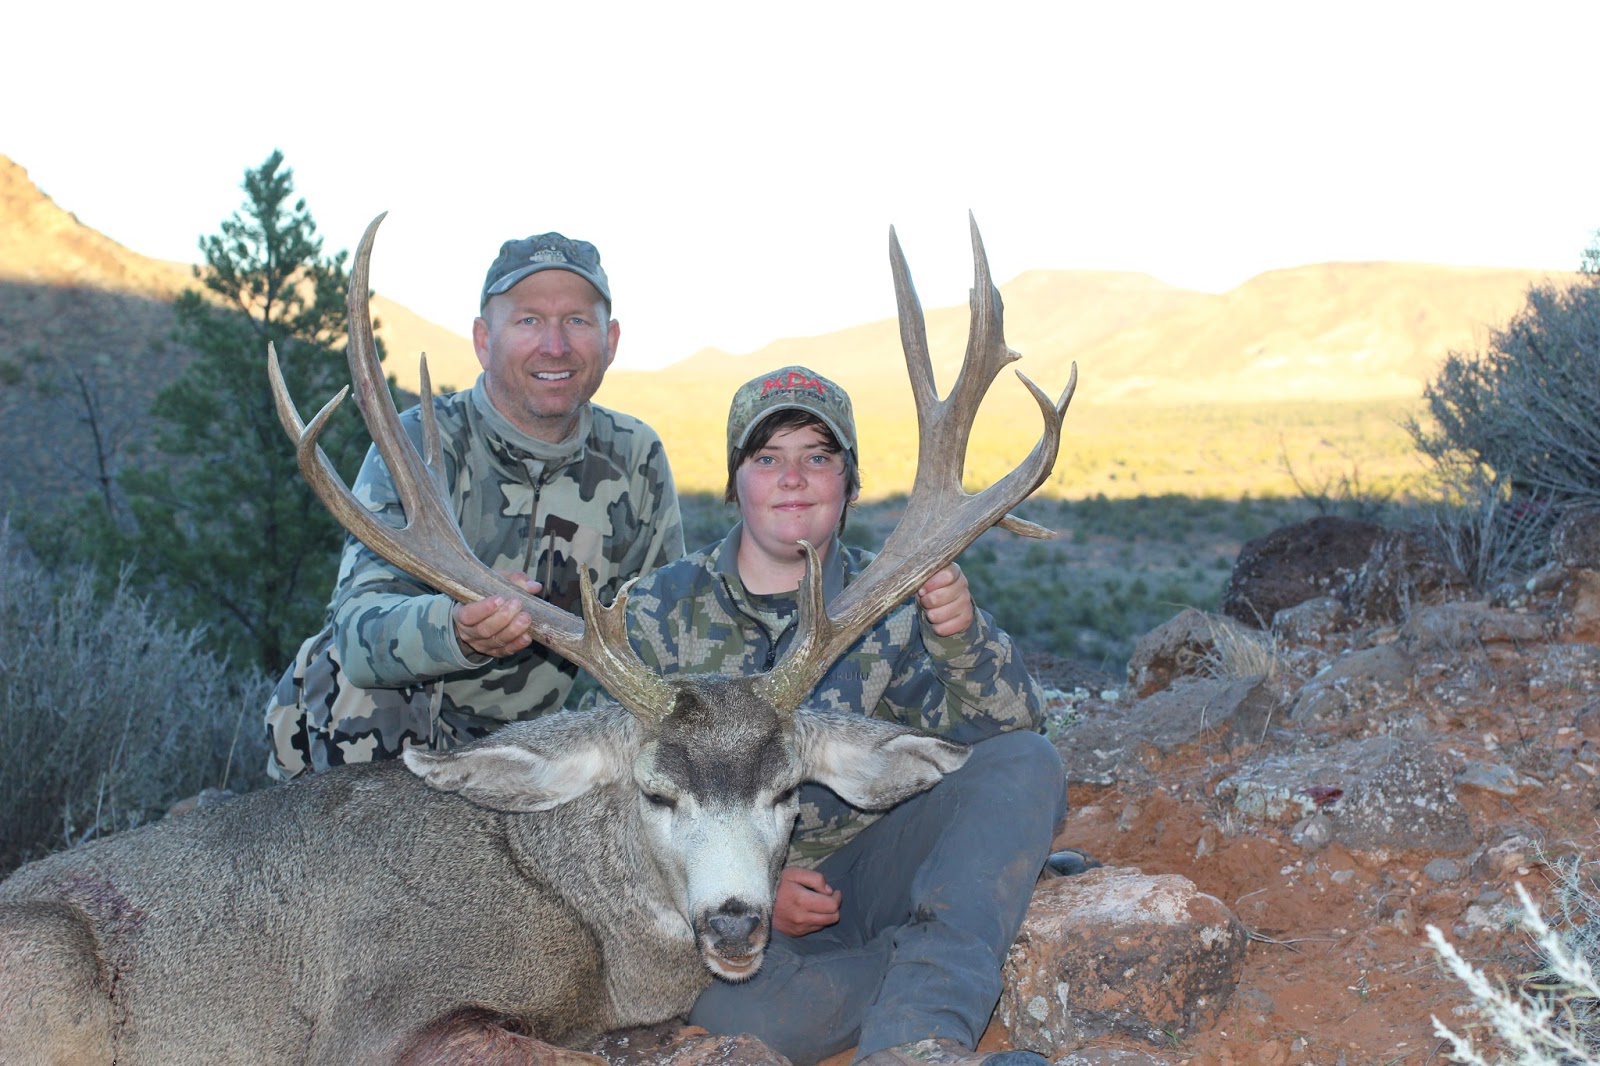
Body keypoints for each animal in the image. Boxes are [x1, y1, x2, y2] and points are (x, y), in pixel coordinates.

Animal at [0, 212, 1075, 1066]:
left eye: (787, 796)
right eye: (655, 791)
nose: (736, 923)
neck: (583, 926)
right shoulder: (379, 1010)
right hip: (56, 980)